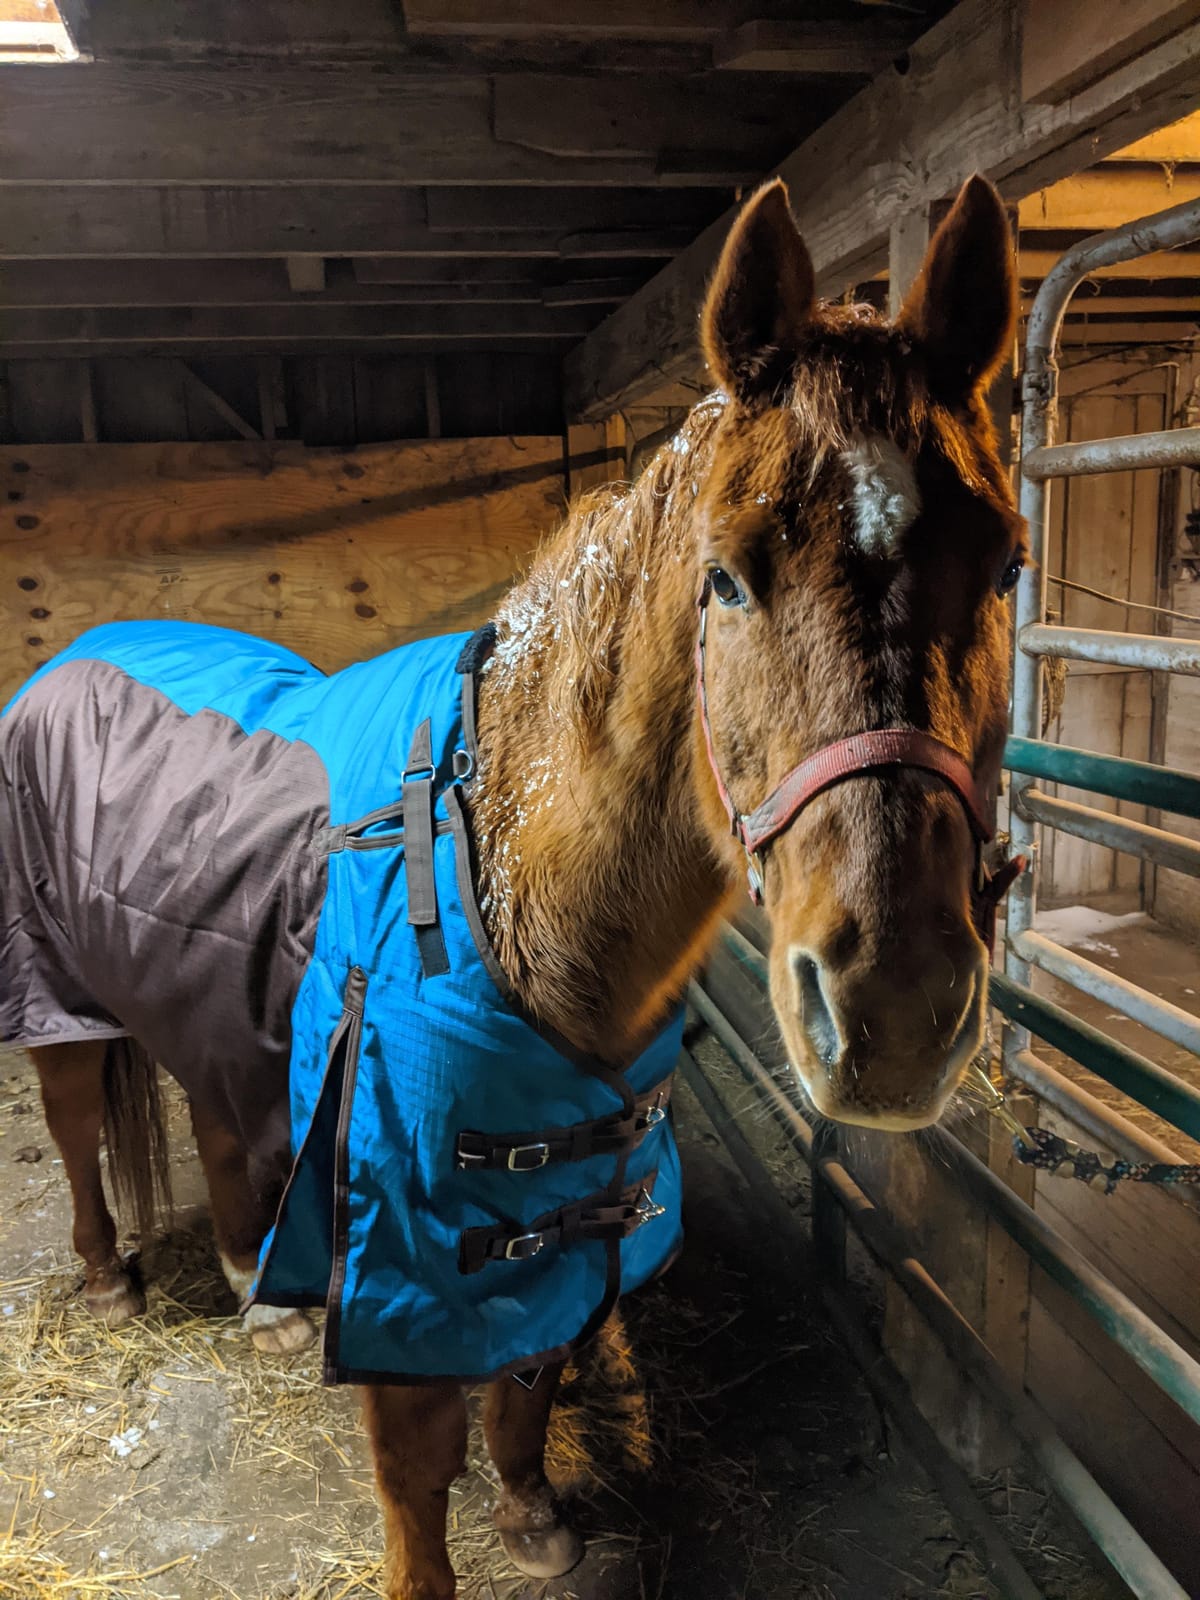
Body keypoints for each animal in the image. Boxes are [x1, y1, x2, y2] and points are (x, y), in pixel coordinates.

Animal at [1, 172, 1023, 1600]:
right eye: (725, 575)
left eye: (1007, 564)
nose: (894, 1009)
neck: (507, 875)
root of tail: (73, 655)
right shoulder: (399, 1227)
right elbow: (416, 1469)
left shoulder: (562, 1189)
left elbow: (533, 1370)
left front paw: (535, 1510)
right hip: (59, 995)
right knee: (77, 1122)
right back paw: (111, 1280)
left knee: (216, 1113)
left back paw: (256, 1284)